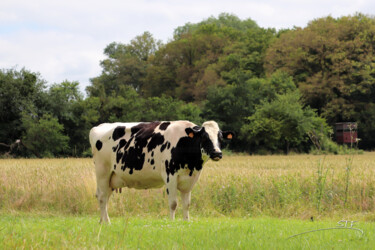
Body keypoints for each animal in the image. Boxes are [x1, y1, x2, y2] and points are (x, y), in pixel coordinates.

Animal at [89, 120, 234, 223]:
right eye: (204, 137)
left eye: (220, 138)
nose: (217, 153)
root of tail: (98, 127)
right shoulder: (170, 175)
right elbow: (173, 203)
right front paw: (172, 222)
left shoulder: (190, 180)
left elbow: (186, 204)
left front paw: (186, 222)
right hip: (102, 172)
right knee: (102, 197)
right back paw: (107, 223)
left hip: (111, 178)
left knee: (104, 197)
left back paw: (102, 221)